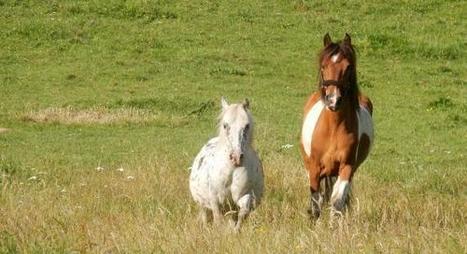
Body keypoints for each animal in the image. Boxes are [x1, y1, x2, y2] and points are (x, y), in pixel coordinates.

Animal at [189, 96, 264, 229]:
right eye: (225, 125)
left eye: (247, 125)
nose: (236, 157)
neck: (232, 170)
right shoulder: (215, 200)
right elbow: (218, 219)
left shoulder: (243, 196)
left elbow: (243, 212)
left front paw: (236, 230)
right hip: (202, 204)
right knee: (205, 216)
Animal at [302, 33, 374, 219]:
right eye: (323, 66)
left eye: (348, 67)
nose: (333, 100)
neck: (333, 129)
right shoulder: (314, 168)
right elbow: (316, 202)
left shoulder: (346, 168)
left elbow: (337, 201)